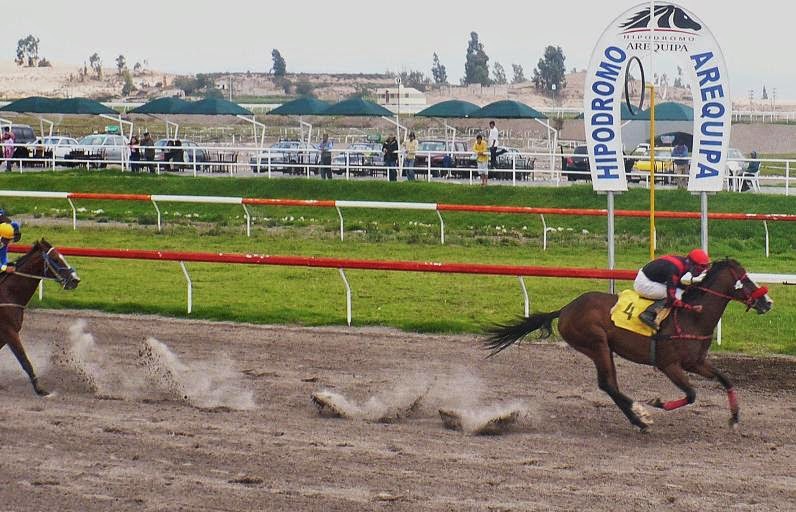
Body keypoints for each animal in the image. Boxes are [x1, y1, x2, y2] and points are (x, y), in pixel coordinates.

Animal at [0, 240, 79, 396]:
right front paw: (40, 389)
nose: (75, 280)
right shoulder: (9, 332)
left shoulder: (4, 336)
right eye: (55, 259)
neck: (8, 294)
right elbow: (25, 361)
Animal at [482, 260, 776, 432]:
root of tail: (565, 309)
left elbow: (726, 379)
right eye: (745, 279)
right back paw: (640, 415)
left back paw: (637, 417)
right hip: (596, 344)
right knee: (607, 384)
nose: (767, 302)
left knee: (610, 384)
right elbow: (692, 394)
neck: (691, 317)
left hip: (602, 348)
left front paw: (735, 417)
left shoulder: (696, 363)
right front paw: (658, 403)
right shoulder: (669, 365)